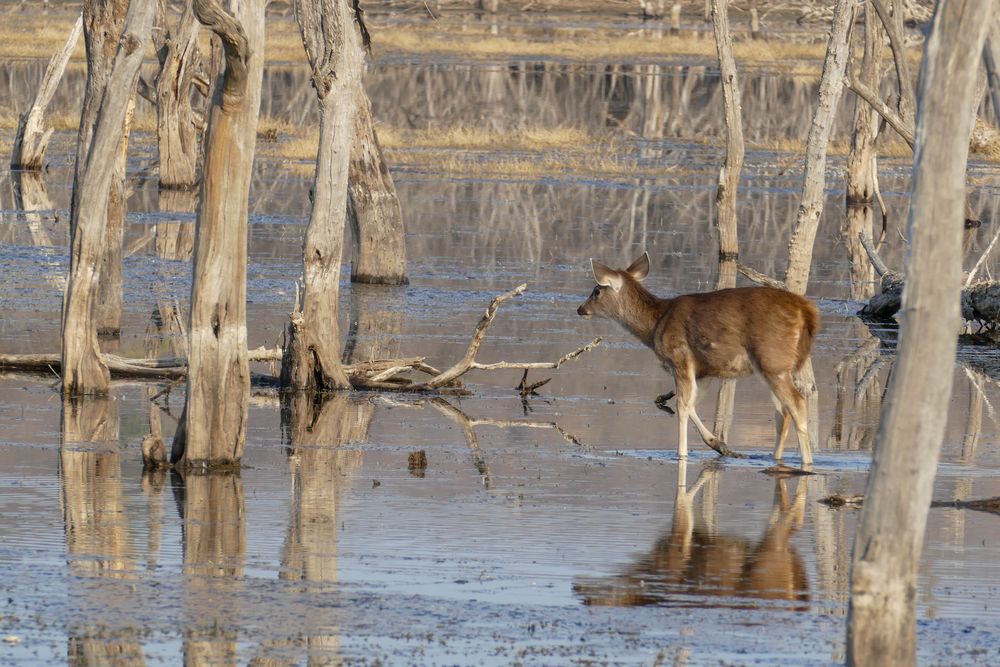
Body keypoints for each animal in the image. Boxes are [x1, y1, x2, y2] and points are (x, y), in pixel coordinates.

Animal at [580, 250, 820, 464]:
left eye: (596, 291)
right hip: (780, 365)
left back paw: (807, 462)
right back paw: (774, 457)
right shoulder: (705, 370)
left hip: (772, 359)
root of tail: (806, 311)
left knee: (797, 404)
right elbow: (692, 404)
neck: (655, 326)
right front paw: (721, 445)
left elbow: (683, 406)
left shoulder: (680, 358)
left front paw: (682, 453)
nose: (580, 309)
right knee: (782, 412)